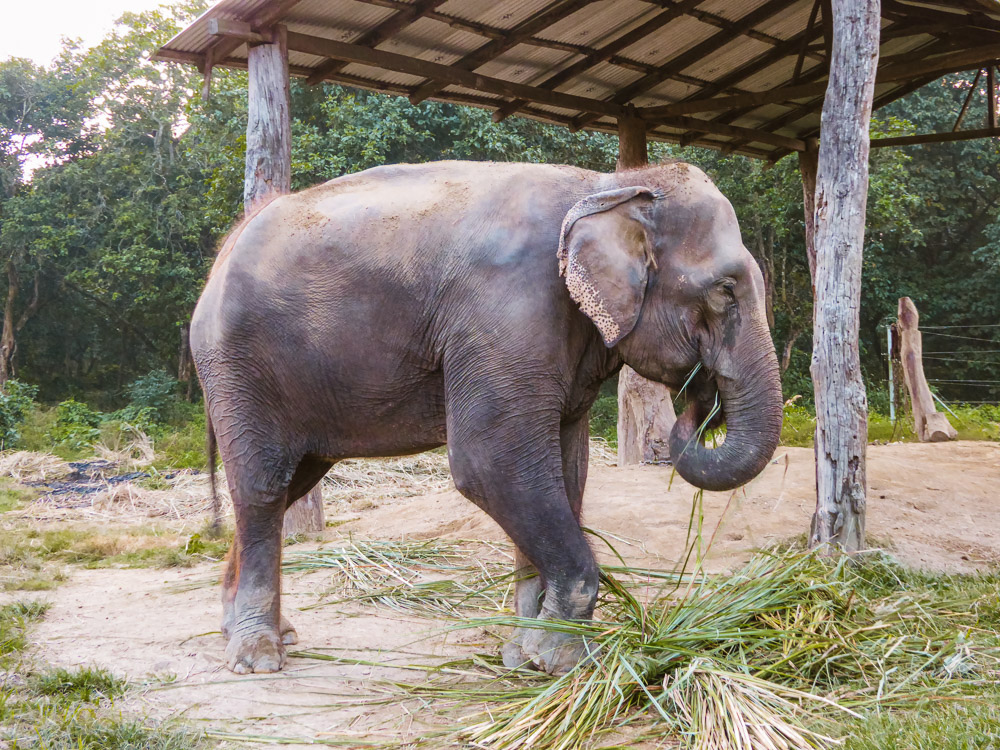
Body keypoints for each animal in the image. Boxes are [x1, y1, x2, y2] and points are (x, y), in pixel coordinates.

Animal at [188, 162, 780, 680]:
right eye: (725, 290)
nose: (701, 395)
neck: (607, 184)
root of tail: (223, 252)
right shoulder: (506, 314)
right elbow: (494, 464)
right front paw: (559, 662)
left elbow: (565, 475)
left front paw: (524, 655)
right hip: (238, 367)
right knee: (263, 488)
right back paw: (257, 658)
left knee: (286, 484)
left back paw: (253, 633)